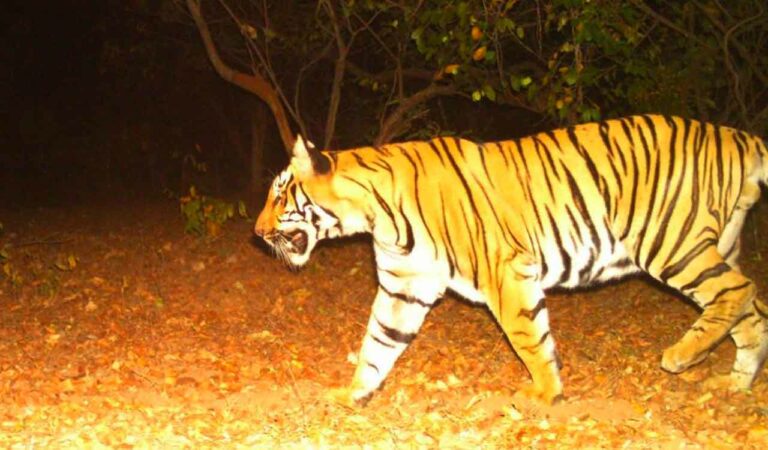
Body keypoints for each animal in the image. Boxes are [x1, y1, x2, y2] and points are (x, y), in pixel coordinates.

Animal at [254, 114, 768, 405]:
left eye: (280, 196)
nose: (256, 233)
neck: (375, 215)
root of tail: (735, 136)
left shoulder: (505, 272)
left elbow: (529, 337)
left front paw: (545, 393)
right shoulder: (405, 287)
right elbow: (378, 343)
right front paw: (353, 393)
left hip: (670, 242)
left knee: (739, 291)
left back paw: (681, 356)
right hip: (717, 244)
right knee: (752, 309)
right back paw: (736, 384)